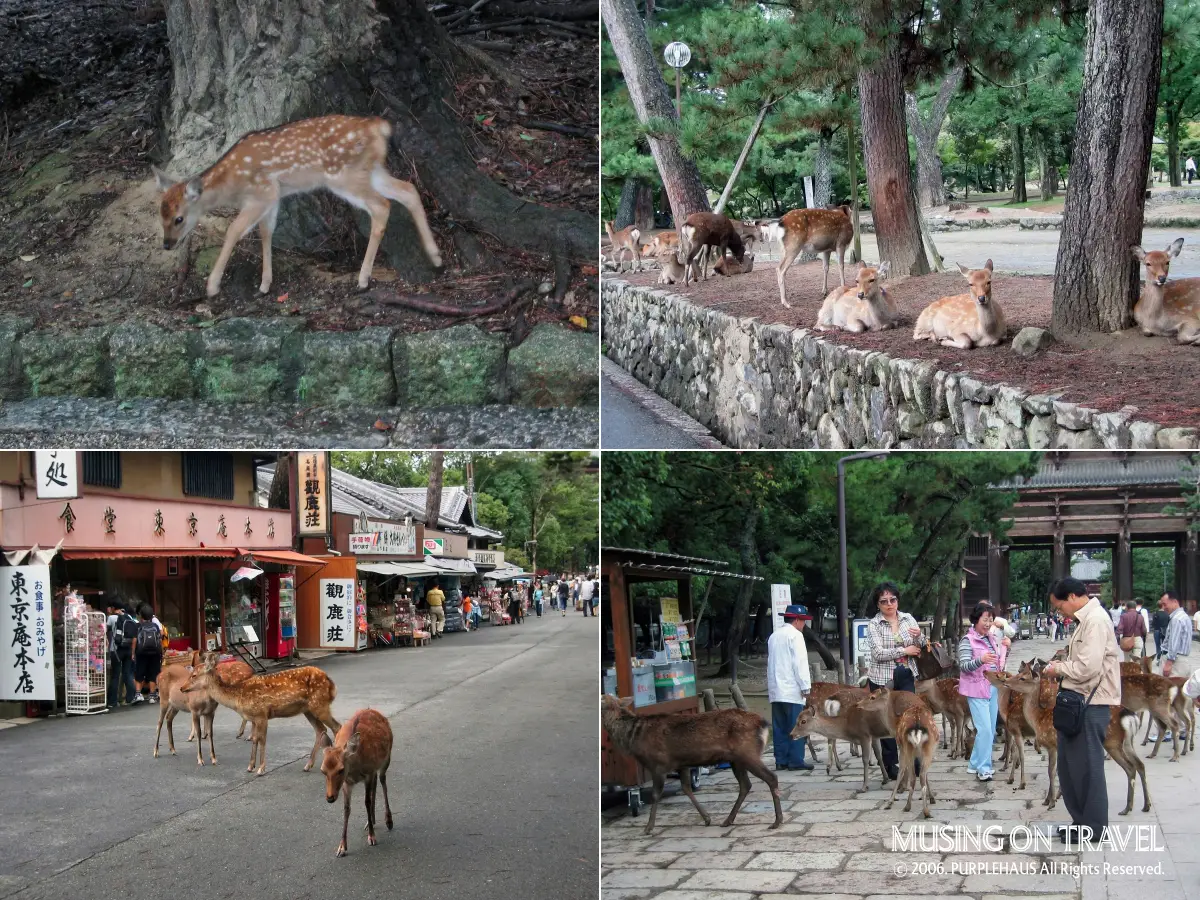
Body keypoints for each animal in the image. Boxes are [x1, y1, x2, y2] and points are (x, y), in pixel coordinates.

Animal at [152, 114, 444, 297]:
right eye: (160, 214)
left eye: (179, 218)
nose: (167, 244)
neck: (233, 183)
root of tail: (378, 127)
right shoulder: (273, 196)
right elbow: (266, 232)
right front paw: (264, 285)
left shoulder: (262, 192)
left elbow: (234, 230)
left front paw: (212, 287)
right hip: (371, 170)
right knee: (408, 190)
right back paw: (436, 257)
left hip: (344, 176)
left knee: (382, 206)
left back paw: (363, 279)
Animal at [183, 652, 343, 777]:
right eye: (190, 674)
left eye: (194, 675)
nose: (182, 688)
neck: (238, 697)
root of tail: (332, 685)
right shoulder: (254, 718)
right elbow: (254, 739)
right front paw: (250, 766)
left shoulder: (262, 714)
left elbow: (262, 740)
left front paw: (261, 769)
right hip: (308, 709)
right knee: (321, 730)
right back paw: (308, 766)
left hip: (319, 705)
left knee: (337, 727)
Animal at [319, 710, 393, 859]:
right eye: (323, 770)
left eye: (341, 770)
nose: (330, 798)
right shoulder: (348, 782)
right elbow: (347, 808)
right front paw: (342, 847)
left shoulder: (368, 773)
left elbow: (367, 802)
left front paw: (372, 837)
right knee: (376, 784)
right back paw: (371, 821)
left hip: (386, 758)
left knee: (382, 781)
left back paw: (388, 821)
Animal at [600, 696, 787, 835]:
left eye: (603, 699)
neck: (634, 739)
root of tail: (763, 723)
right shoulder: (681, 764)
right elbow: (686, 789)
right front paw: (707, 818)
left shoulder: (658, 764)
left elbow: (655, 794)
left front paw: (648, 827)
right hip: (737, 759)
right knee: (745, 785)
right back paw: (728, 820)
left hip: (747, 753)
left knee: (771, 777)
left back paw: (777, 821)